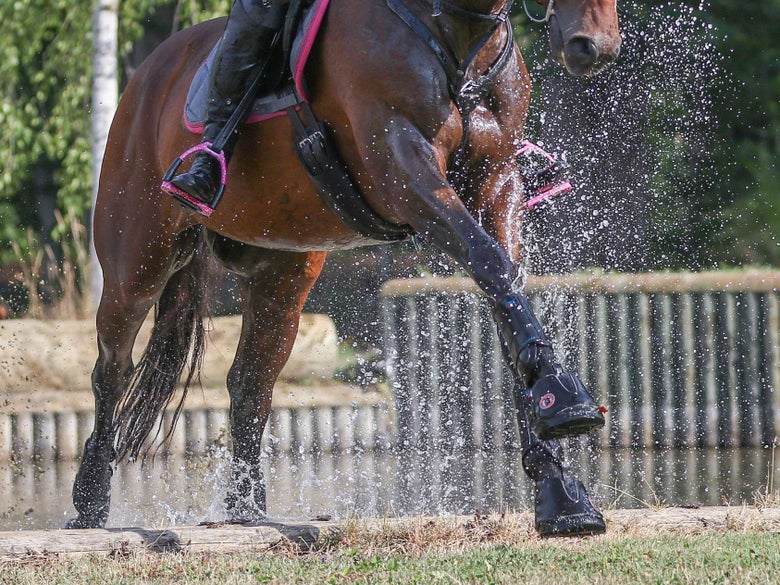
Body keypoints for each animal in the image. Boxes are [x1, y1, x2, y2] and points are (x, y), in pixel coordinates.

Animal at [68, 0, 621, 536]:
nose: (593, 44)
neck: (454, 31)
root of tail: (147, 74)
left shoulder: (496, 184)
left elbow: (504, 291)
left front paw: (560, 489)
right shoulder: (405, 174)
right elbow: (491, 266)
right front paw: (562, 395)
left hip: (283, 275)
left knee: (249, 382)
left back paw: (247, 508)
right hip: (138, 262)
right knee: (112, 368)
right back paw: (90, 500)